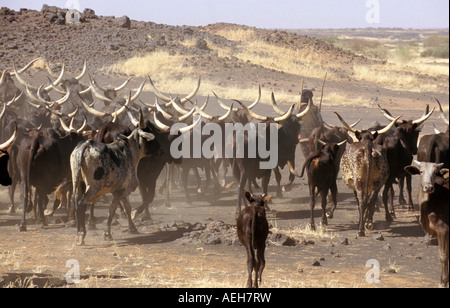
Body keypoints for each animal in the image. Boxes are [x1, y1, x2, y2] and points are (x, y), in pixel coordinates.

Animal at [69, 114, 163, 247]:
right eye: (151, 136)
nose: (161, 150)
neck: (130, 151)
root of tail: (87, 144)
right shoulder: (120, 191)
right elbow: (112, 211)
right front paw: (107, 234)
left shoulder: (121, 190)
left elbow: (127, 208)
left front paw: (132, 227)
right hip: (93, 187)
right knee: (82, 204)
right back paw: (81, 235)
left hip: (77, 183)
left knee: (74, 202)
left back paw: (78, 231)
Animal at [406, 160, 448, 288]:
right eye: (421, 171)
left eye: (435, 172)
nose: (428, 187)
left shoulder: (443, 229)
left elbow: (443, 256)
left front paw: (443, 282)